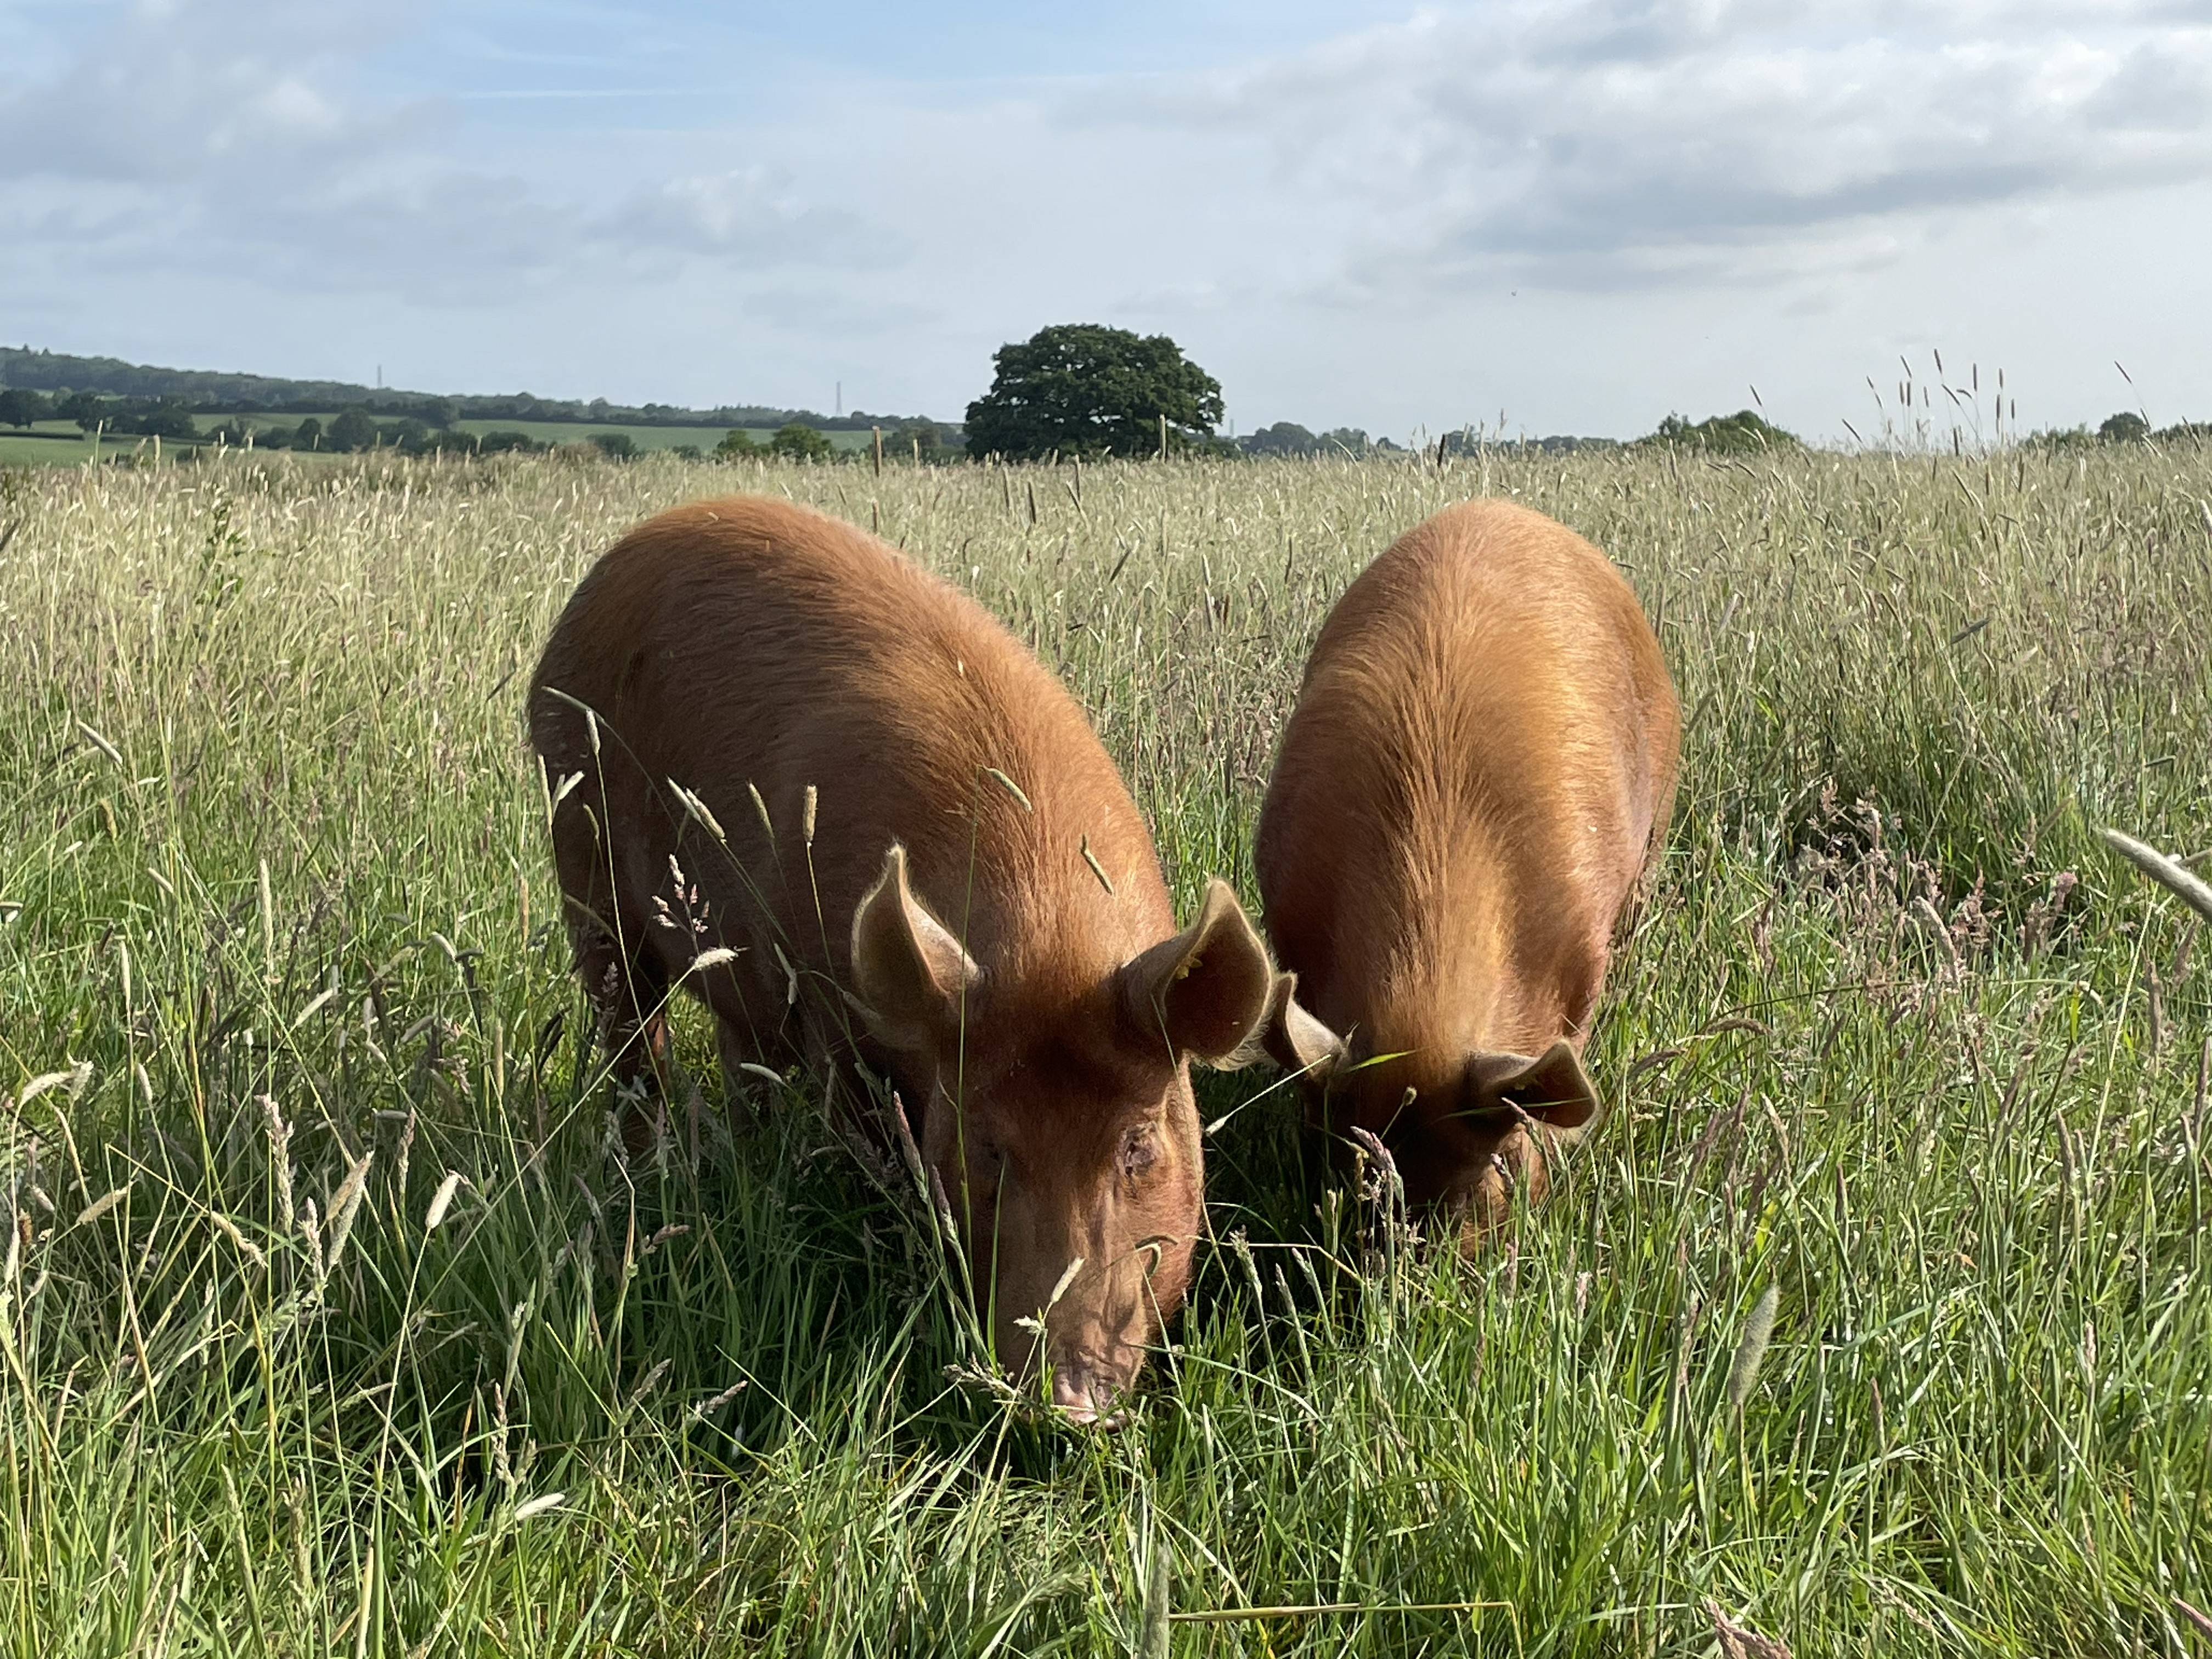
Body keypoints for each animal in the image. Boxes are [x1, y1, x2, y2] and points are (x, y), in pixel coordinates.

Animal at [528, 496, 1272, 1421]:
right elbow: (869, 1144)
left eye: (1138, 1146)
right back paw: (649, 1167)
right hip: (583, 867)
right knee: (632, 1035)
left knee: (739, 1059)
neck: (1051, 932)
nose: (1067, 1397)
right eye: (988, 1148)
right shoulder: (828, 1009)